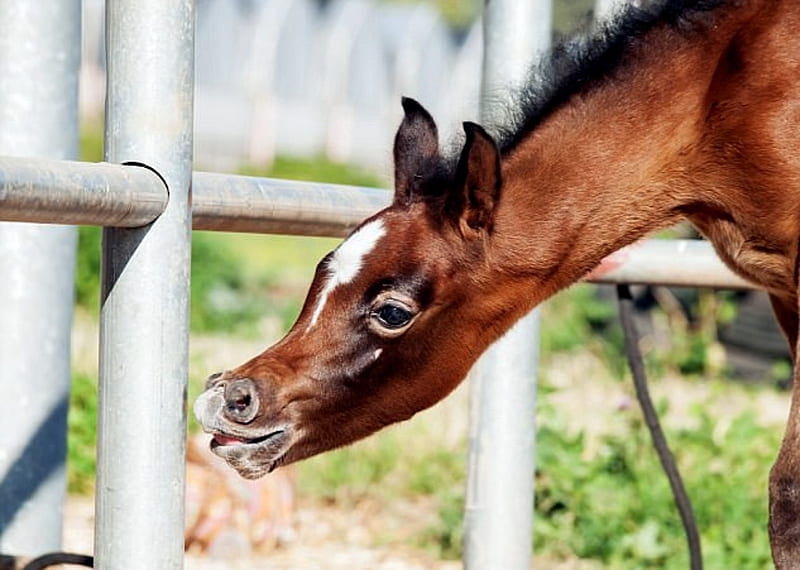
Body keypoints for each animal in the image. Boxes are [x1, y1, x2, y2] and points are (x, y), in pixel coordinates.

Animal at [197, 0, 800, 560]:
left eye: (393, 311)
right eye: (320, 274)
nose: (228, 397)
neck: (721, 97)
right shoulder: (782, 296)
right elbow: (785, 496)